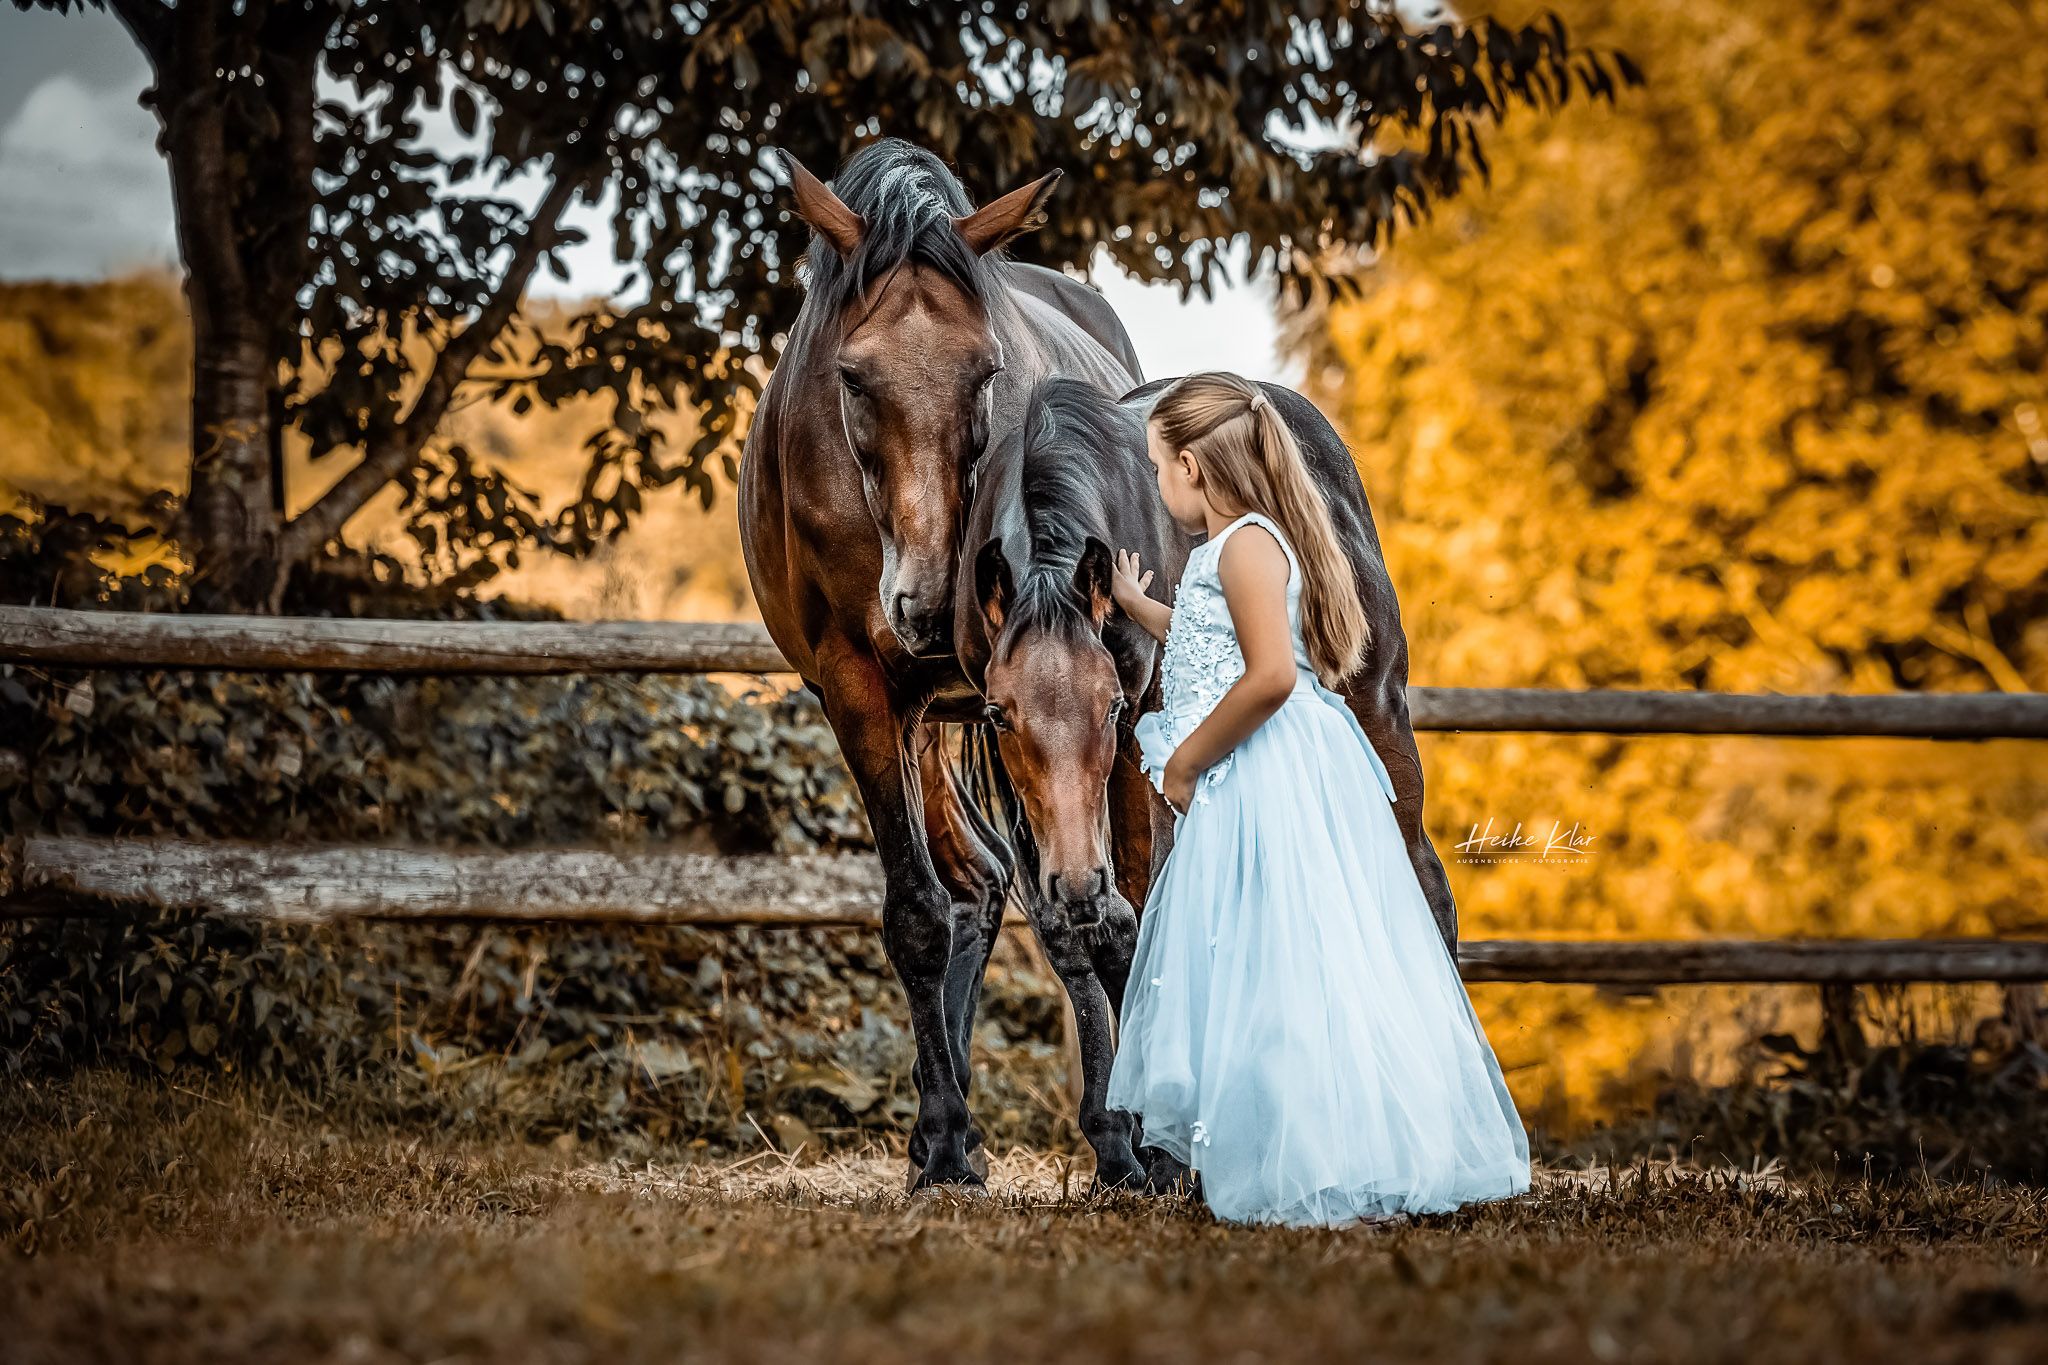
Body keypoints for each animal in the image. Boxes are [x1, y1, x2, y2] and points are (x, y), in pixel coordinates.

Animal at [739, 139, 1142, 1191]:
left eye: (988, 370)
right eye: (851, 377)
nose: (924, 601)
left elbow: (1088, 908)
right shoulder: (860, 689)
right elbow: (921, 915)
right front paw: (945, 1142)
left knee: (1072, 898)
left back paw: (1121, 1137)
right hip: (928, 721)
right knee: (978, 888)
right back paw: (949, 1127)